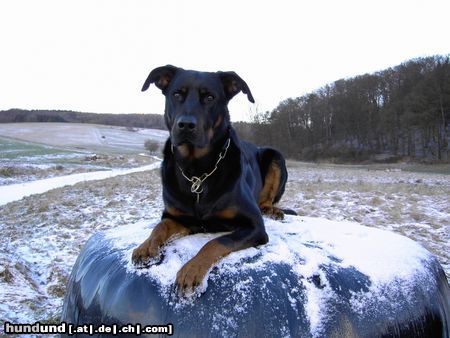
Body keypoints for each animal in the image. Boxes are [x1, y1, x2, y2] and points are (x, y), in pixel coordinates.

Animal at [131, 65, 292, 294]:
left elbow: (215, 243)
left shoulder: (254, 226)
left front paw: (191, 270)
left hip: (275, 155)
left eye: (209, 97)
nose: (186, 125)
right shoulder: (179, 217)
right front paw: (145, 247)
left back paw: (273, 211)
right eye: (177, 94)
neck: (197, 170)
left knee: (266, 201)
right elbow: (159, 227)